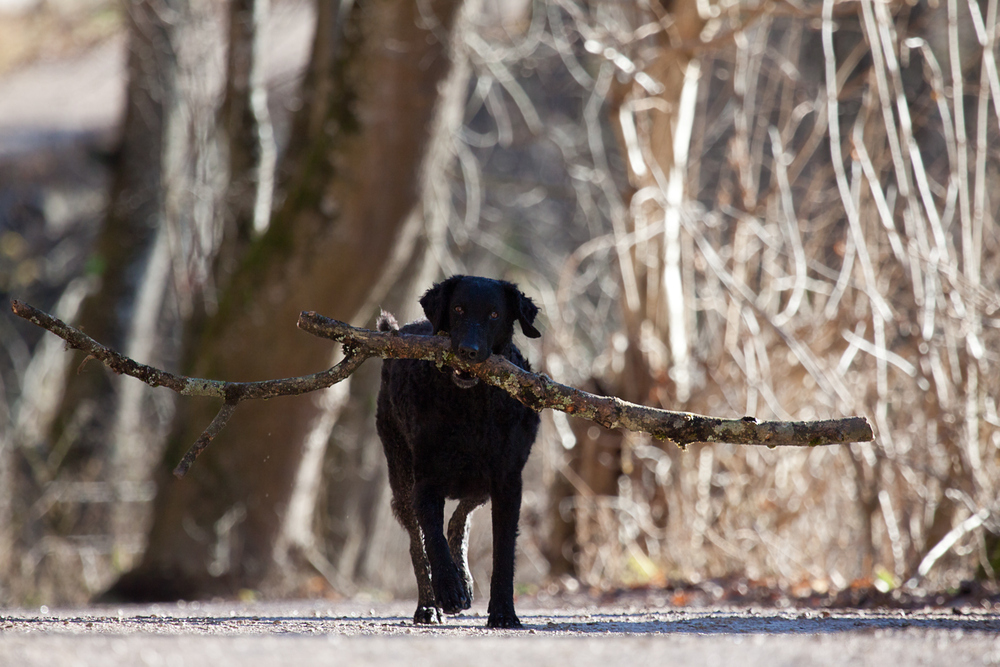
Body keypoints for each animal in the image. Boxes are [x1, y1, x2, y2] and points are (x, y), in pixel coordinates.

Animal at [376, 274, 544, 628]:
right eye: (457, 309)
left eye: (494, 314)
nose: (468, 351)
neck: (470, 408)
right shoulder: (425, 482)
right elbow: (432, 540)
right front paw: (449, 589)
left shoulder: (508, 482)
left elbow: (502, 551)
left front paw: (503, 612)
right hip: (400, 475)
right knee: (418, 544)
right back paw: (429, 606)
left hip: (480, 481)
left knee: (460, 520)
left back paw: (464, 578)